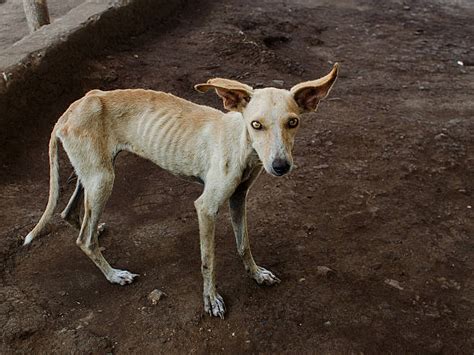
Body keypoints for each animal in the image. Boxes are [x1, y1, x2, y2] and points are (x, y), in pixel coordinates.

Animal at [24, 62, 338, 318]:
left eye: (293, 122)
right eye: (256, 124)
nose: (280, 166)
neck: (241, 142)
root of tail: (70, 110)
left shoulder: (238, 198)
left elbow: (243, 244)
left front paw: (257, 274)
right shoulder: (206, 208)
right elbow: (208, 260)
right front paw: (211, 301)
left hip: (92, 175)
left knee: (70, 214)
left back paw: (96, 230)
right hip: (103, 179)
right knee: (83, 239)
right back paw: (114, 275)